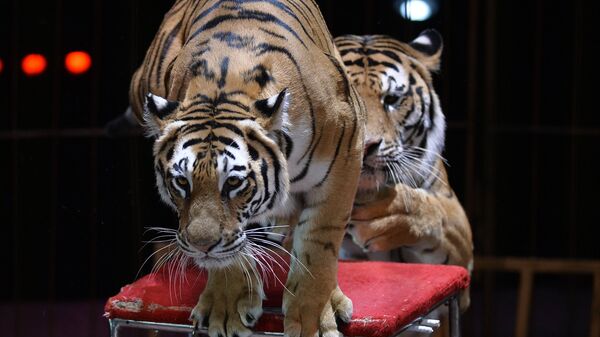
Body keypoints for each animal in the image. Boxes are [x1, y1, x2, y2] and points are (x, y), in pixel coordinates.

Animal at [127, 0, 366, 336]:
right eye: (182, 182)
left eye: (233, 183)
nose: (201, 247)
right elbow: (231, 249)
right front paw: (225, 308)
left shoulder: (346, 156)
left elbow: (320, 245)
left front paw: (314, 317)